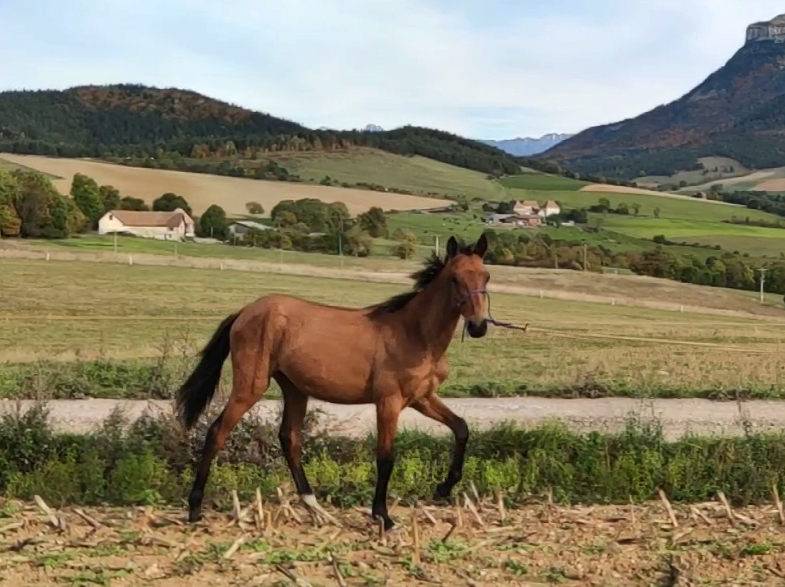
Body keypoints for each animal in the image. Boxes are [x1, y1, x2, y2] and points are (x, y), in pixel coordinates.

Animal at [176, 234, 490, 529]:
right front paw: (383, 517)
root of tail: (244, 312)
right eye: (454, 278)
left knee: (289, 439)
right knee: (217, 432)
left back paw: (315, 508)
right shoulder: (388, 401)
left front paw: (443, 488)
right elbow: (386, 457)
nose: (478, 326)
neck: (414, 334)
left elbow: (461, 428)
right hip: (250, 387)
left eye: (486, 276)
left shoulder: (421, 398)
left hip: (294, 389)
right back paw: (194, 508)